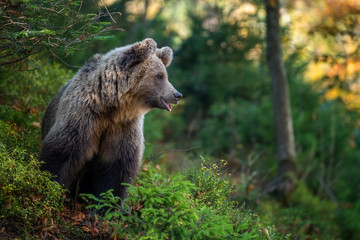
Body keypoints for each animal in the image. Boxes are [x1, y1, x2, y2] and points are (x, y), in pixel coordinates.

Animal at [39, 38, 183, 198]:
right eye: (159, 76)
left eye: (165, 75)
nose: (177, 95)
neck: (111, 106)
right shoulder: (84, 117)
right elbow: (62, 153)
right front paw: (50, 185)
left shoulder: (123, 125)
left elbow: (118, 165)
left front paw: (109, 200)